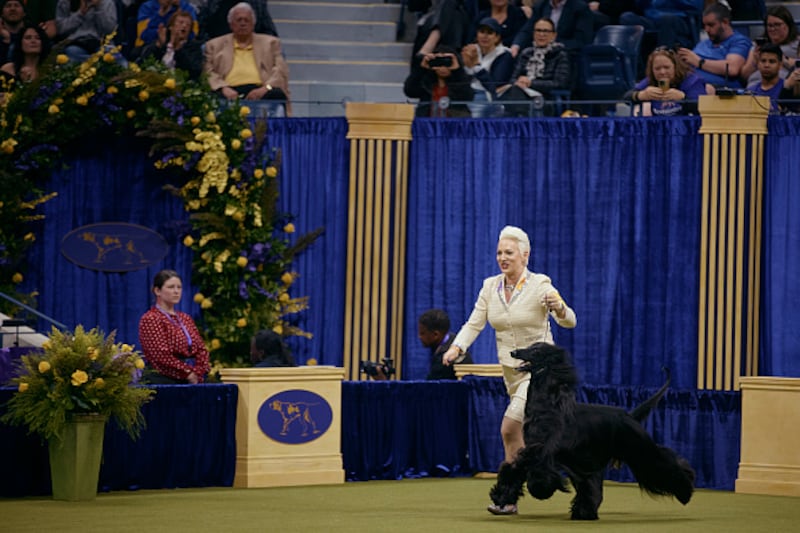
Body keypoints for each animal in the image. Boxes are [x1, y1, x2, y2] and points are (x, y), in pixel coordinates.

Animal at [488, 340, 692, 520]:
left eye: (536, 350)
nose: (514, 352)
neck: (548, 406)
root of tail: (629, 416)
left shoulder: (542, 451)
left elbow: (528, 472)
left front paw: (539, 490)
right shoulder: (534, 450)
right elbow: (514, 470)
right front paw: (500, 496)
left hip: (638, 449)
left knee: (664, 463)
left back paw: (686, 491)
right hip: (587, 461)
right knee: (591, 487)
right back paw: (584, 512)